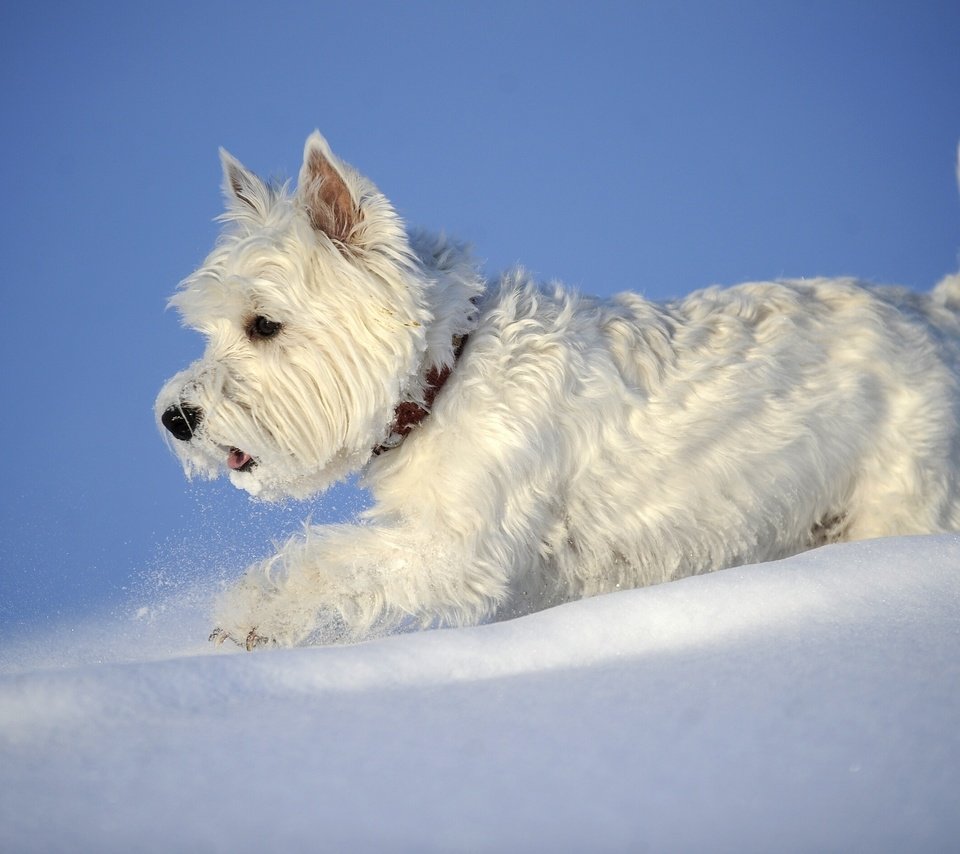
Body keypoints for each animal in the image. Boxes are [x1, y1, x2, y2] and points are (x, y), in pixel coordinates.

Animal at [158, 132, 960, 648]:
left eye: (263, 324)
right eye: (210, 328)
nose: (174, 417)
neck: (446, 375)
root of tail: (933, 310)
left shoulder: (461, 546)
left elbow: (332, 558)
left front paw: (250, 617)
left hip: (901, 496)